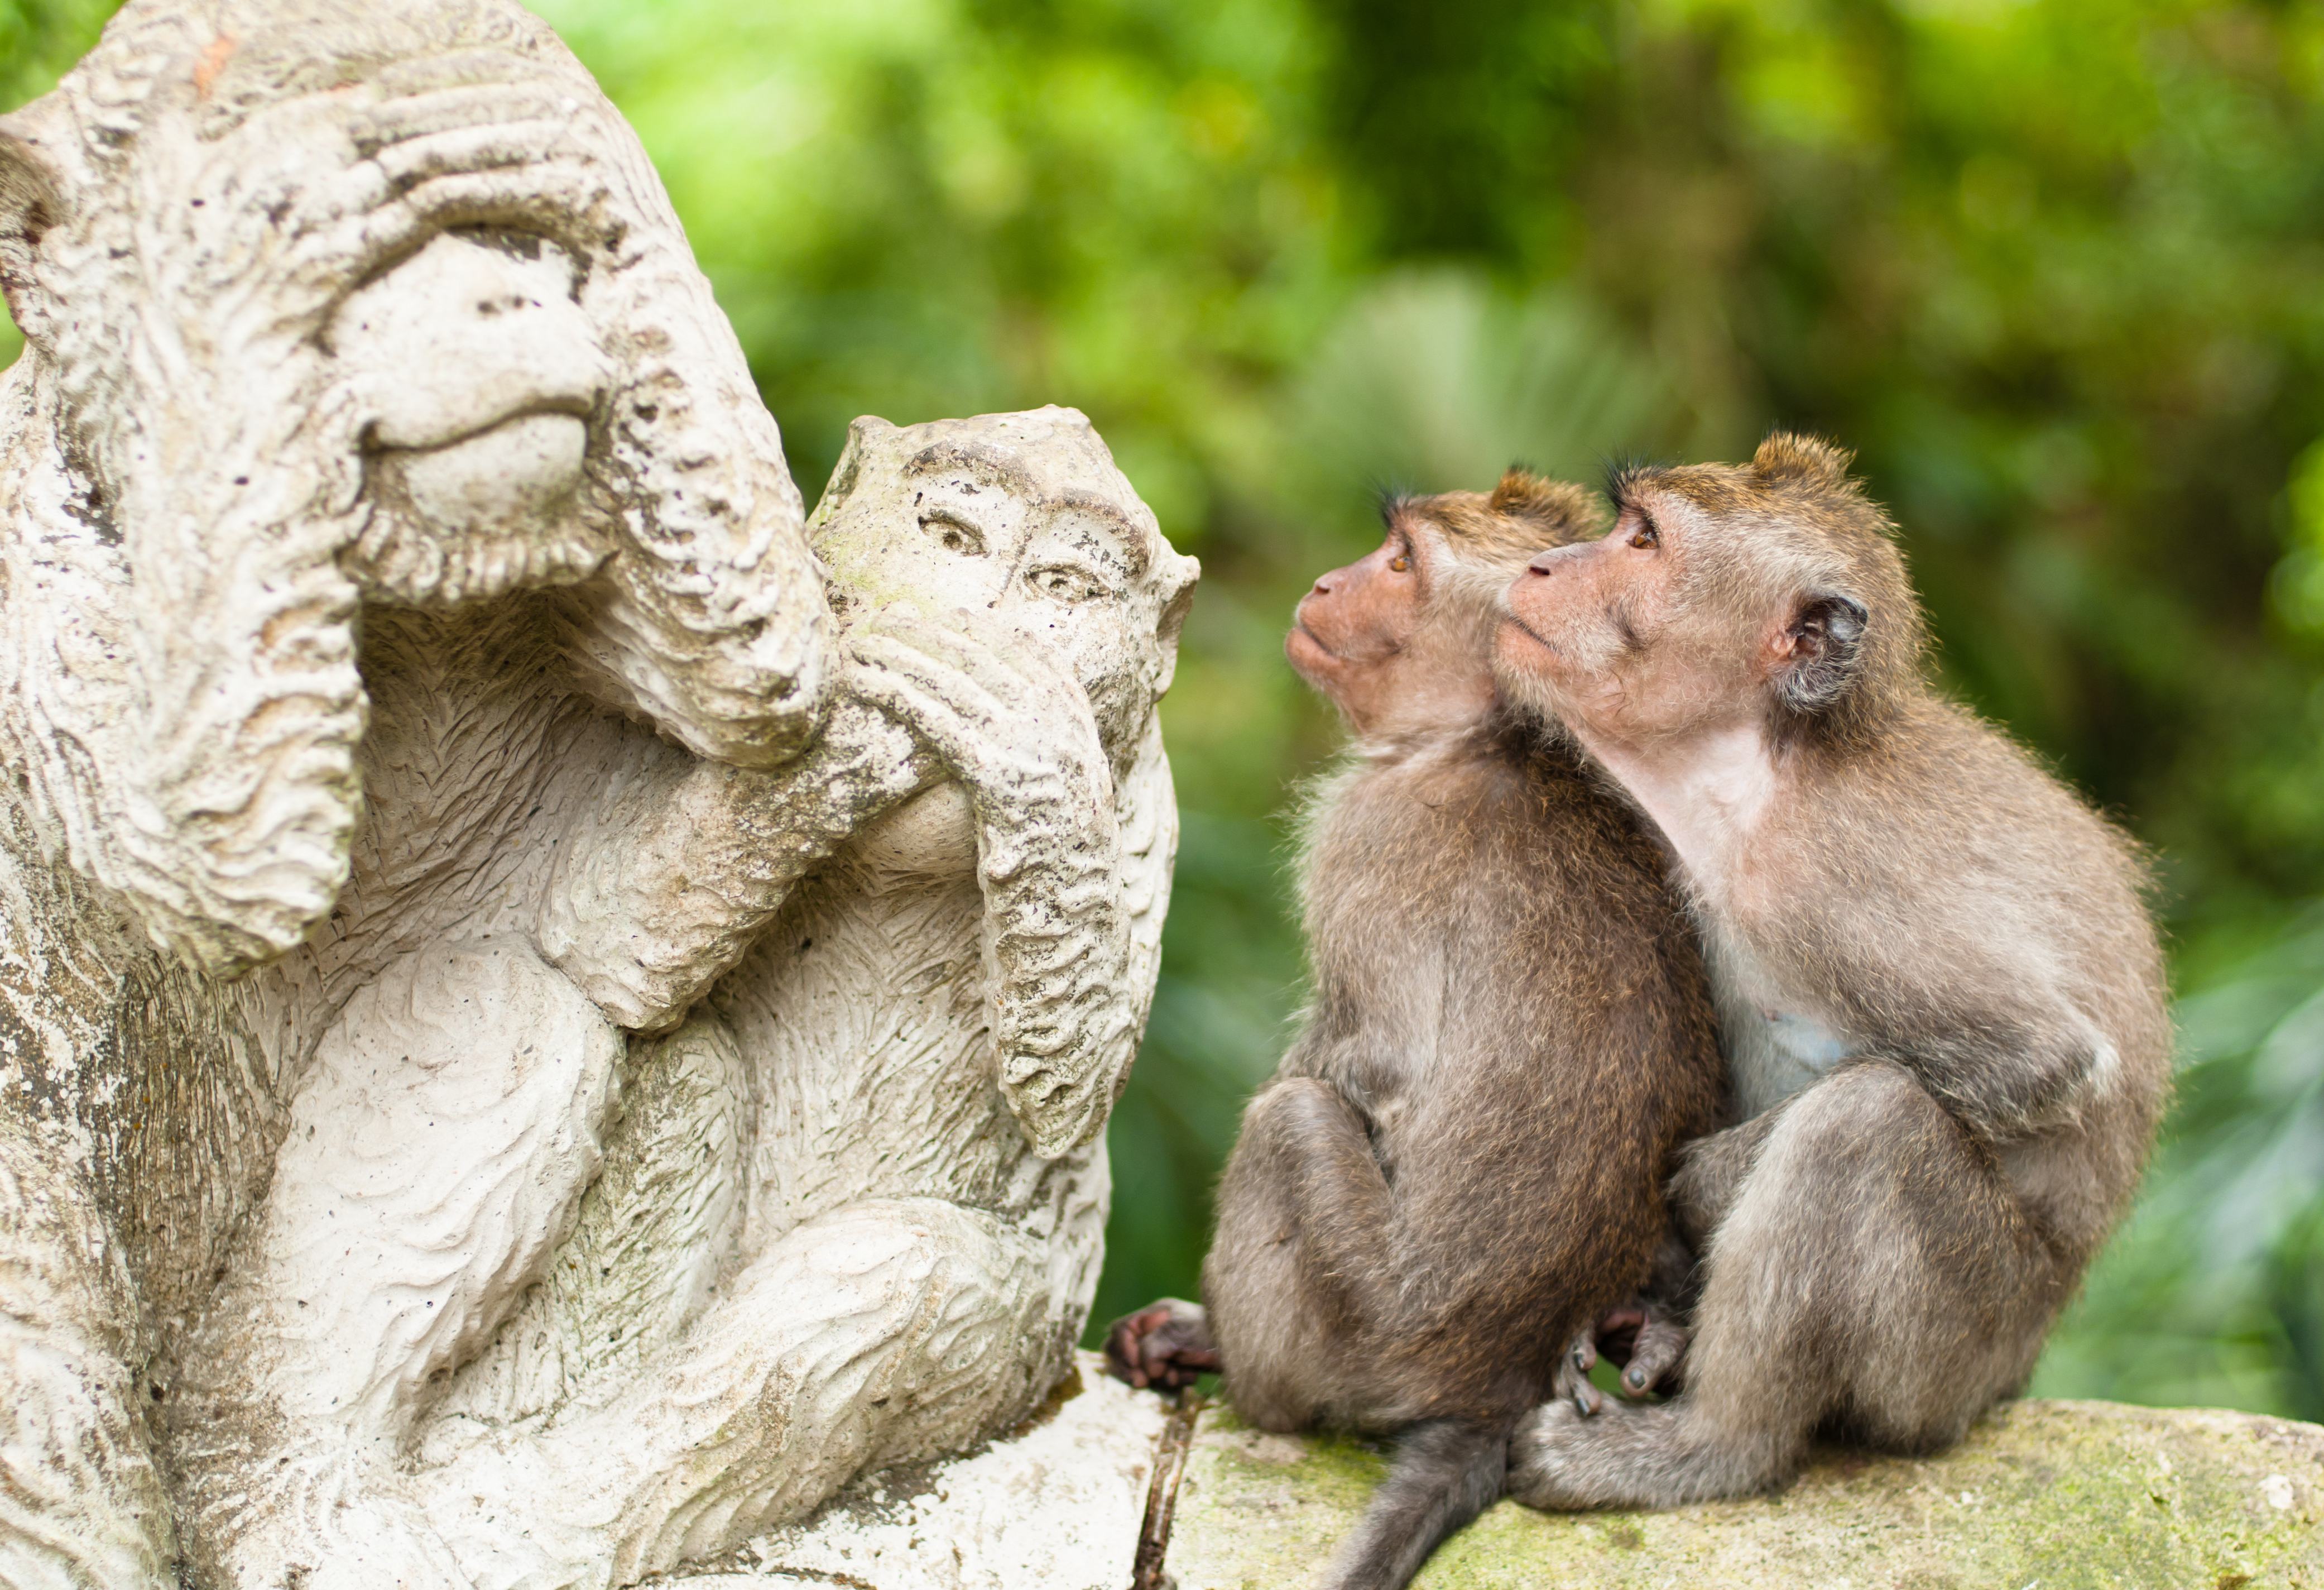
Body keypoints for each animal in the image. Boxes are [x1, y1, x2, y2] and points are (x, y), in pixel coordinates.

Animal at [1106, 471, 1725, 1590]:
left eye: (1399, 562)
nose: (1324, 582)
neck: (1484, 733)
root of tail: (1491, 1385)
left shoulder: (1368, 831)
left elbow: (1369, 1061)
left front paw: (1195, 1320)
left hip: (1362, 1330)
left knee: (1291, 1121)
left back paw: (1237, 1365)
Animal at [1492, 433, 2171, 1509]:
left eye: (1641, 541)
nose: (1544, 566)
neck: (1760, 769)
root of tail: (2013, 1372)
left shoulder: (1825, 880)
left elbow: (2044, 1060)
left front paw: (1698, 1186)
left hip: (1955, 1350)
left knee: (1863, 1126)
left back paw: (1708, 1447)